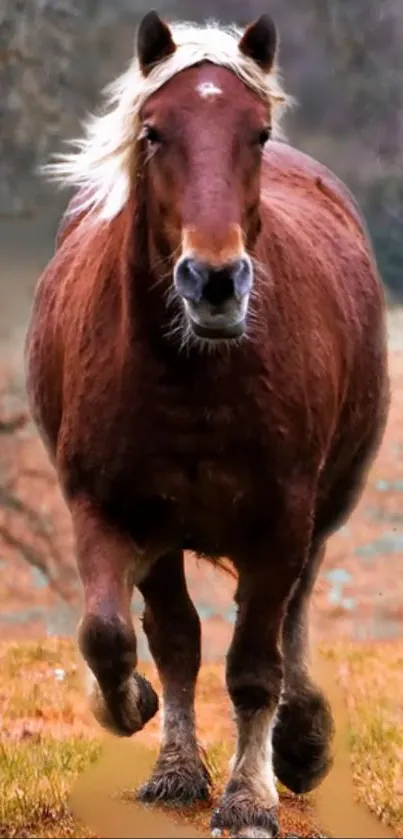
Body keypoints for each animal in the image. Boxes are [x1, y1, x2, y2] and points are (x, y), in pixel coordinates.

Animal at [26, 13, 392, 839]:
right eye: (153, 131)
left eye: (255, 133)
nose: (215, 282)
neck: (192, 374)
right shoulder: (108, 507)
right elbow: (120, 635)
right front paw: (139, 722)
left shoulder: (283, 516)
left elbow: (255, 664)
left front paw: (250, 796)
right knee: (175, 637)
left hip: (323, 506)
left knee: (293, 611)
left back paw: (300, 741)